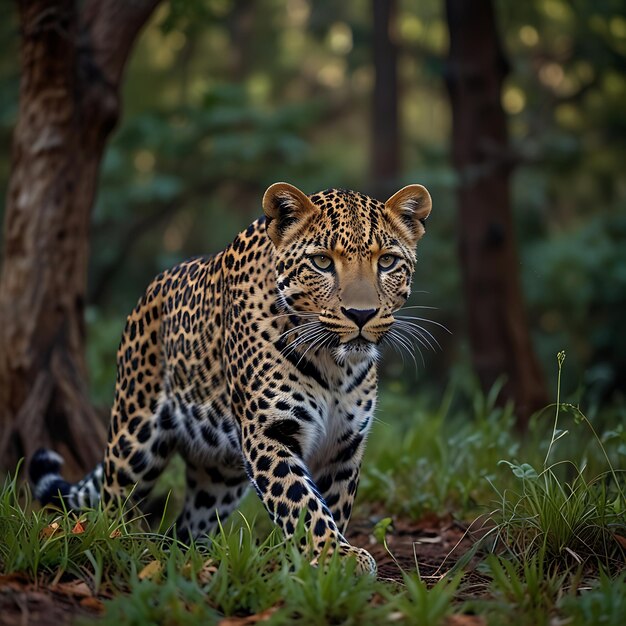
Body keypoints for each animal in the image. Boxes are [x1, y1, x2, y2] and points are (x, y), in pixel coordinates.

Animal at [29, 179, 428, 572]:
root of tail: (149, 292)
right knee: (110, 504)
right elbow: (301, 502)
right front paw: (334, 555)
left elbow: (334, 503)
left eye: (387, 261)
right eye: (321, 262)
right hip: (135, 439)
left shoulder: (343, 444)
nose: (361, 314)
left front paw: (326, 570)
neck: (335, 364)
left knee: (186, 527)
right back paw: (109, 545)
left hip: (219, 475)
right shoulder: (270, 432)